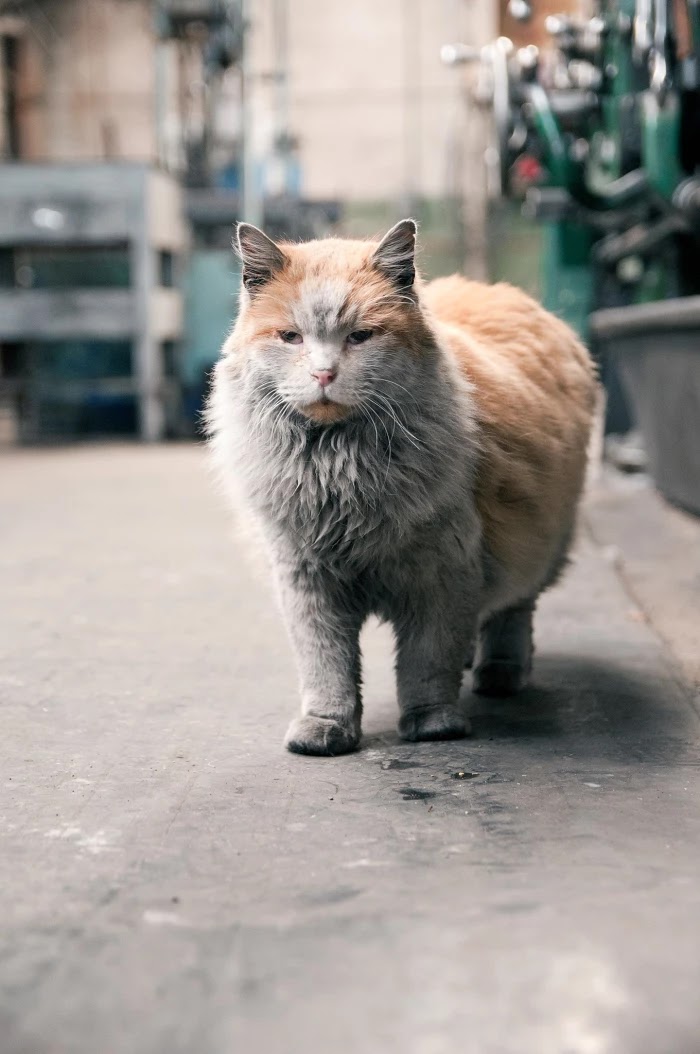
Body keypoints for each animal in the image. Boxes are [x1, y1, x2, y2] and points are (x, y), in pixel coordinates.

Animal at [207, 218, 594, 754]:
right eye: (290, 337)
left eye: (360, 337)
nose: (323, 373)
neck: (337, 469)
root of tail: (505, 293)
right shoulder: (306, 579)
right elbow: (326, 668)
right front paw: (326, 727)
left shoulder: (441, 574)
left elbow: (425, 664)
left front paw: (432, 724)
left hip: (539, 548)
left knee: (513, 612)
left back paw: (499, 671)